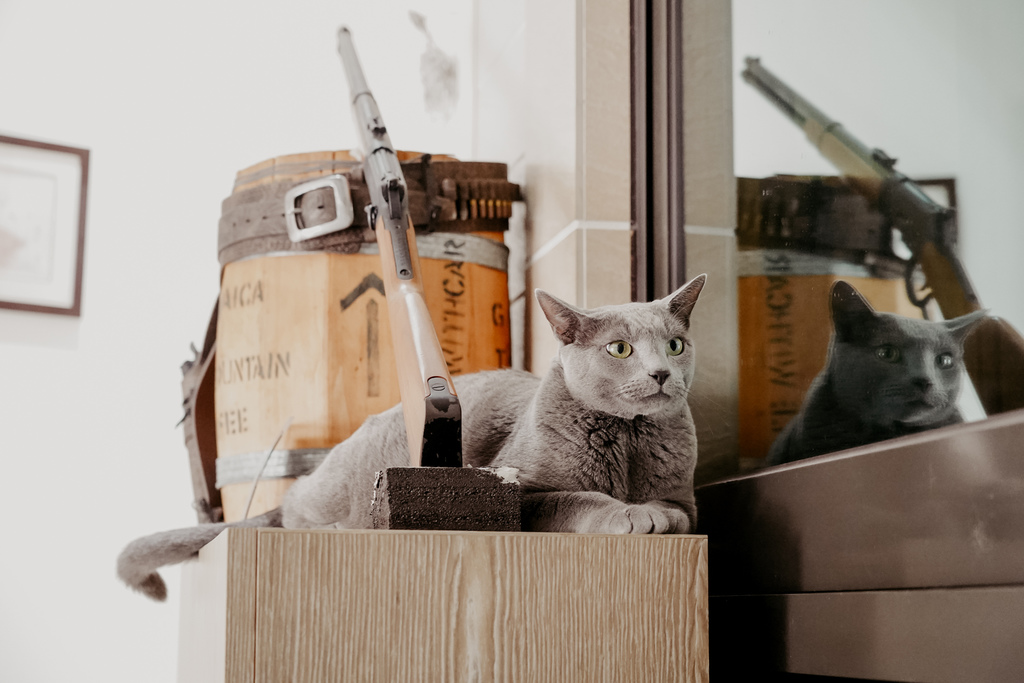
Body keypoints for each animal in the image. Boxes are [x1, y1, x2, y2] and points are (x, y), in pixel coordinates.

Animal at [117, 274, 704, 602]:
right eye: (620, 349)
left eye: (675, 345)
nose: (661, 373)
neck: (628, 438)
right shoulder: (527, 495)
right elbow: (579, 497)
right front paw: (632, 514)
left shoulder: (686, 496)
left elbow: (678, 510)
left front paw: (656, 512)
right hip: (336, 485)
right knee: (294, 511)